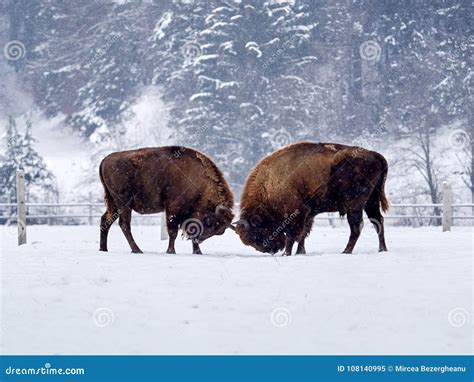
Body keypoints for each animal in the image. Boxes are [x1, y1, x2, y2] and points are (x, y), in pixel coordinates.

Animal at [98, 148, 235, 255]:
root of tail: (106, 159)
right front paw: (171, 251)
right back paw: (137, 250)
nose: (199, 239)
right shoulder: (173, 209)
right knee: (124, 224)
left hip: (114, 205)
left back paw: (103, 249)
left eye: (219, 231)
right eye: (211, 222)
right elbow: (173, 232)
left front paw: (198, 252)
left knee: (105, 221)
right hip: (124, 204)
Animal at [234, 142, 388, 255]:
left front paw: (287, 254)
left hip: (355, 204)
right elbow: (303, 234)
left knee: (357, 226)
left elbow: (292, 235)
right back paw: (382, 249)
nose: (270, 250)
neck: (270, 183)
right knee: (377, 221)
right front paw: (300, 252)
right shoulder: (308, 213)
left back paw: (346, 251)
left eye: (256, 234)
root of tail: (375, 155)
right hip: (371, 201)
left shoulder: (296, 213)